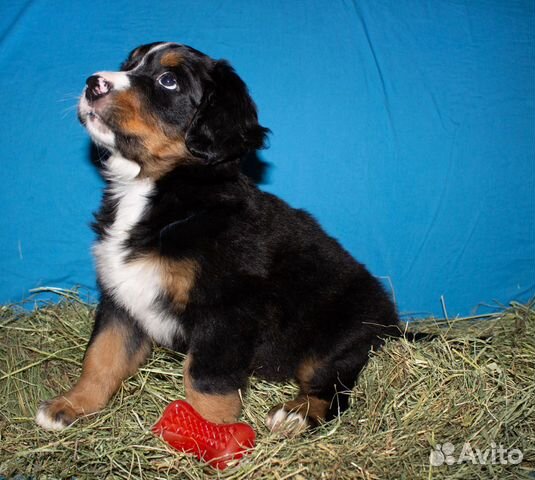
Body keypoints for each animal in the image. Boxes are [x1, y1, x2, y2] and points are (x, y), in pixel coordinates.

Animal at [35, 42, 400, 436]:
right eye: (128, 64)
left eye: (168, 81)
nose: (93, 83)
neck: (158, 190)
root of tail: (392, 321)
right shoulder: (120, 297)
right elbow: (102, 355)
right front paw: (73, 405)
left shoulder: (225, 309)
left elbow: (204, 377)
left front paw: (211, 430)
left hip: (337, 336)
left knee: (333, 388)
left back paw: (297, 413)